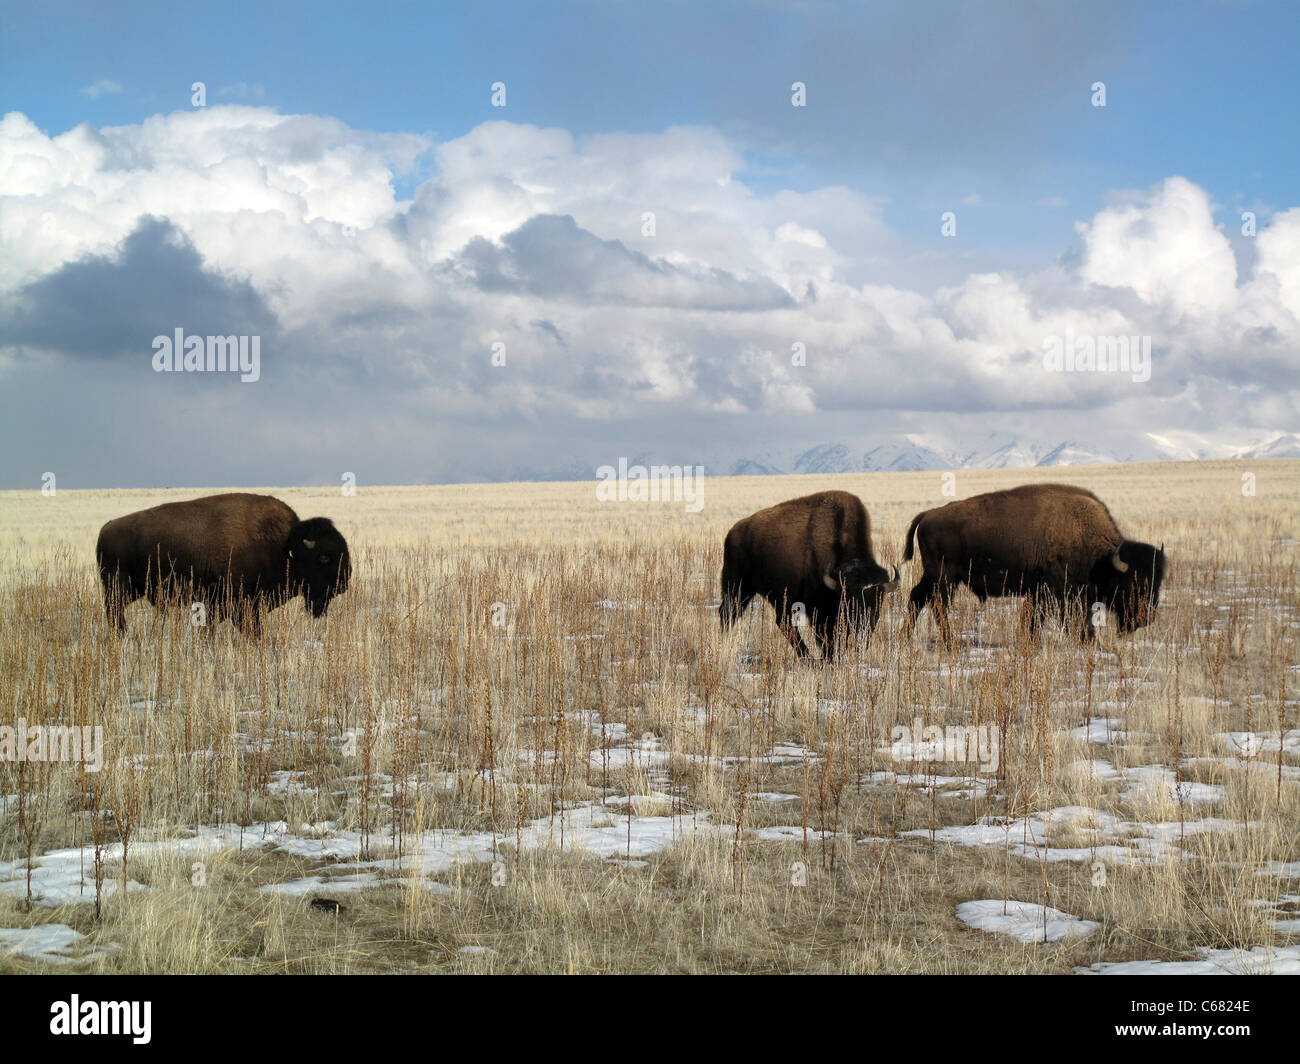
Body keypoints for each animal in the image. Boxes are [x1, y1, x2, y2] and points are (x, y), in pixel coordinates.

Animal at [96, 494, 351, 634]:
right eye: (324, 557)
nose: (344, 583)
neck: (282, 545)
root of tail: (106, 528)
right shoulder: (240, 604)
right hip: (118, 586)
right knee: (114, 612)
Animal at [722, 486, 894, 655]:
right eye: (848, 601)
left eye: (877, 604)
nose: (860, 632)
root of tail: (732, 533)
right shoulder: (818, 608)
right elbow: (824, 637)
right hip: (737, 586)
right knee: (730, 613)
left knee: (782, 622)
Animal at [899, 483, 1164, 642]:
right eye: (1132, 584)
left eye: (1158, 582)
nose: (1145, 618)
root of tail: (928, 515)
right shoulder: (1057, 591)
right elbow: (1060, 617)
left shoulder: (1040, 591)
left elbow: (1034, 618)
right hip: (944, 578)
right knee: (938, 604)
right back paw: (948, 641)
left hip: (934, 576)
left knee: (917, 597)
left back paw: (906, 637)